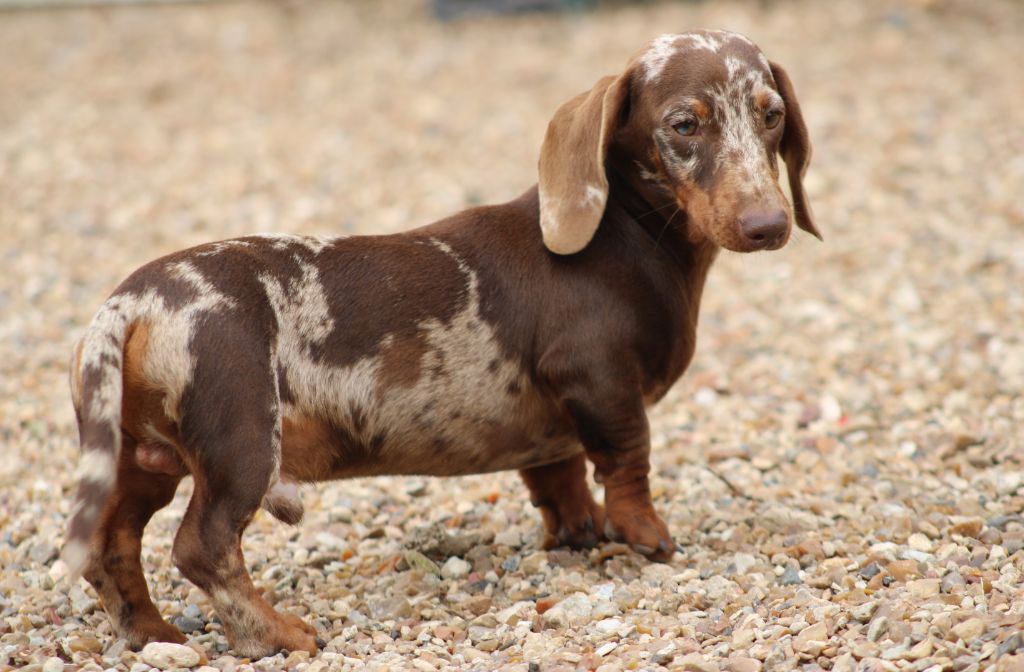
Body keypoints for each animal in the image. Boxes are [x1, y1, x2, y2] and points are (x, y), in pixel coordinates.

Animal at [61, 30, 815, 655]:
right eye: (685, 124)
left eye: (771, 114)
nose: (768, 224)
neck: (626, 236)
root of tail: (132, 302)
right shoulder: (601, 381)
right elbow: (630, 460)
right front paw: (646, 537)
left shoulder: (555, 428)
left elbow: (562, 477)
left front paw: (579, 533)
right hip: (240, 442)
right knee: (203, 548)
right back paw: (276, 634)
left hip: (141, 456)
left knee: (111, 545)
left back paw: (152, 633)